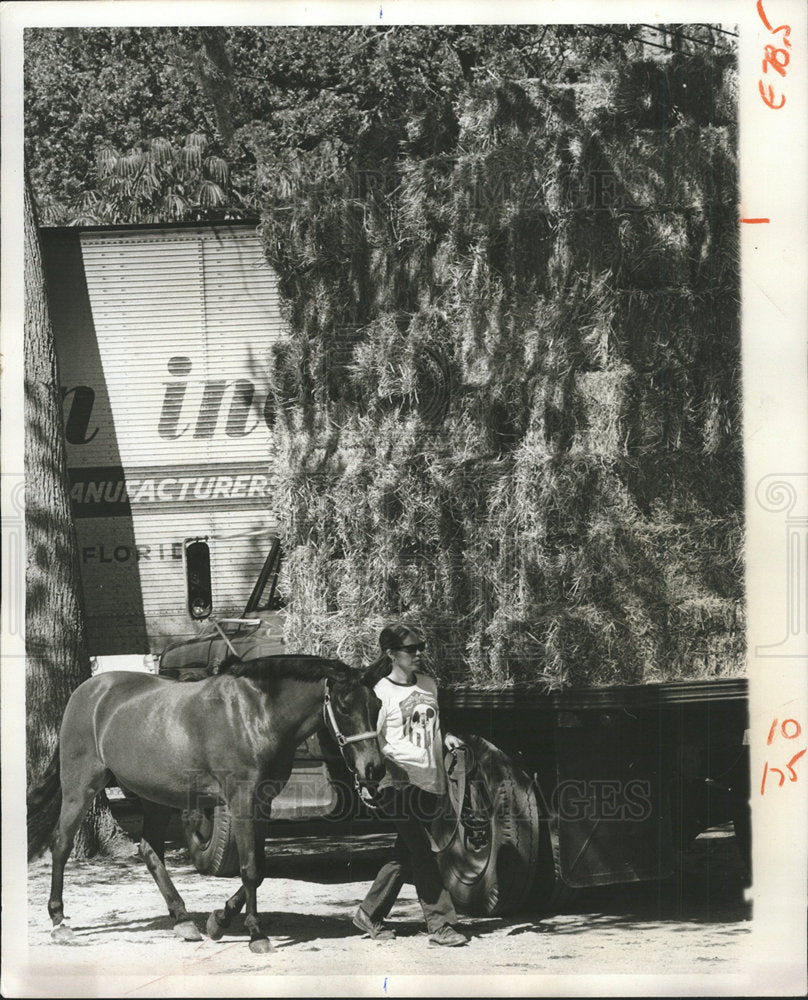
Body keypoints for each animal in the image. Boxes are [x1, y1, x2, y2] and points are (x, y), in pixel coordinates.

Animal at [30, 655, 385, 953]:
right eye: (343, 706)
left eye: (377, 704)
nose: (374, 769)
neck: (255, 713)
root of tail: (88, 692)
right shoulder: (240, 803)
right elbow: (251, 868)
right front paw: (256, 934)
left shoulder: (262, 803)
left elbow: (260, 867)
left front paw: (219, 920)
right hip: (80, 787)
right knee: (61, 844)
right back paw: (59, 922)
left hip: (154, 797)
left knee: (150, 851)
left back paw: (184, 920)